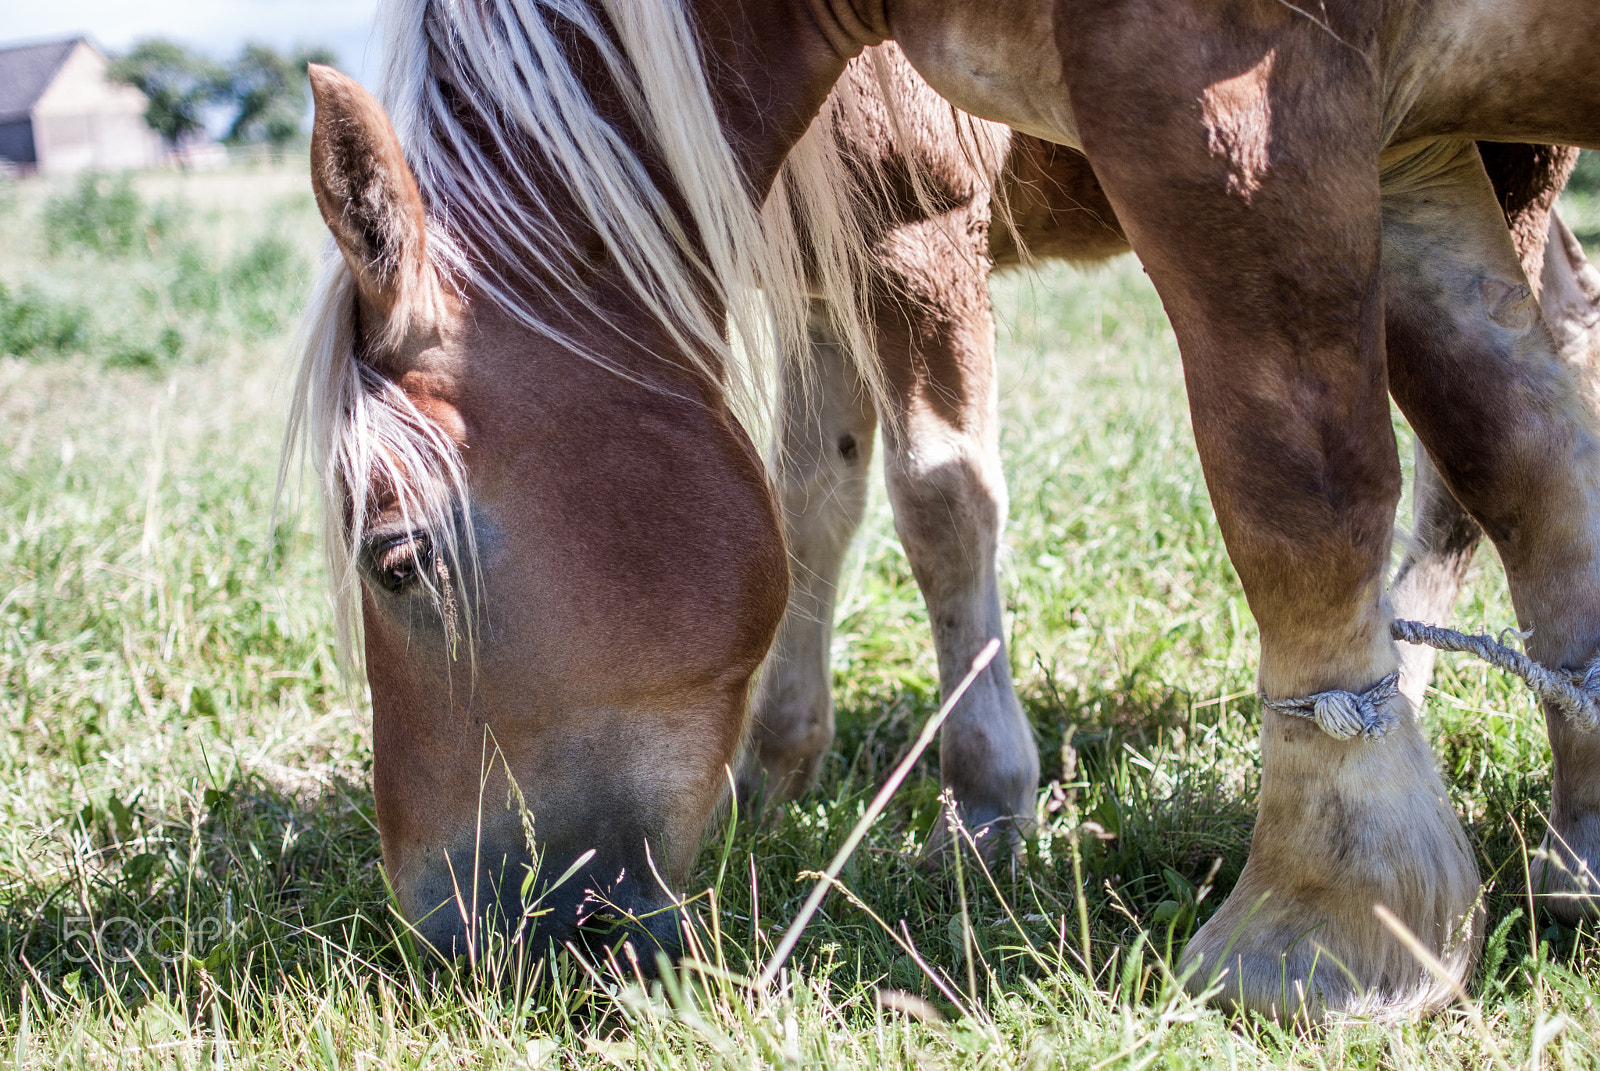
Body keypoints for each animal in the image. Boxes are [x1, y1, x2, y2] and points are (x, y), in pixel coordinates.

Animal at [292, 0, 1600, 1018]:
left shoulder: (926, 228)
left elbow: (946, 496)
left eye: (396, 560)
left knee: (1449, 479)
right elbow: (808, 496)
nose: (455, 935)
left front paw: (988, 807)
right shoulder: (809, 268)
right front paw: (777, 765)